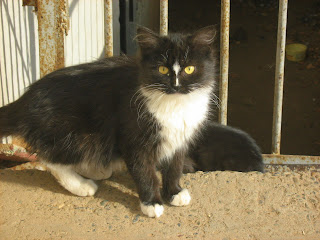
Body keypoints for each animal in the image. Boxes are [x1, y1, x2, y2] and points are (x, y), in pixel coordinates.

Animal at [0, 25, 218, 218]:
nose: (176, 86)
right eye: (163, 69)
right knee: (49, 159)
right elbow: (144, 171)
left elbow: (175, 166)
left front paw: (174, 192)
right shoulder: (133, 135)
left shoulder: (180, 136)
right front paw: (151, 203)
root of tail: (25, 100)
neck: (175, 104)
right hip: (75, 133)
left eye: (189, 69)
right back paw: (80, 185)